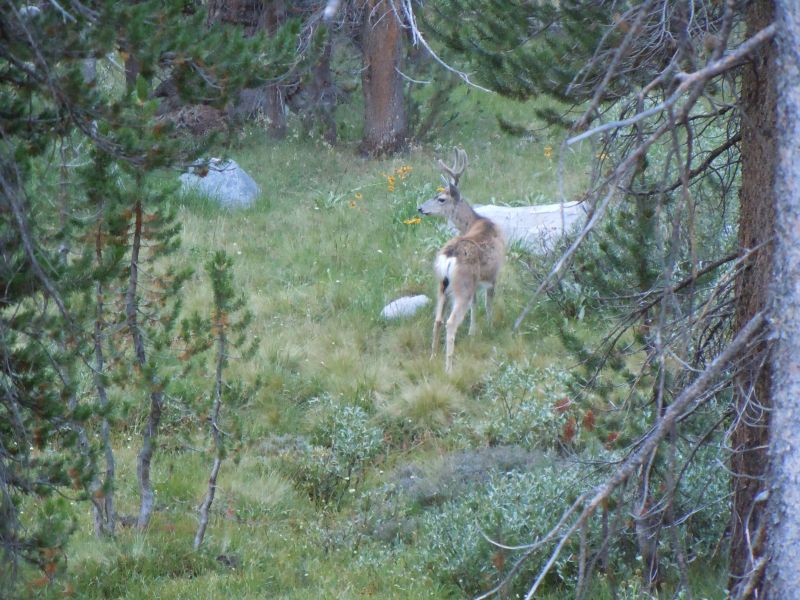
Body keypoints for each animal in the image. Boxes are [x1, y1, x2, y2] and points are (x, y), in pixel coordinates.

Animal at [417, 148, 506, 373]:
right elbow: (488, 303)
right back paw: (448, 367)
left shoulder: (475, 283)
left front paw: (473, 332)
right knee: (450, 322)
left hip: (442, 285)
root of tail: (450, 257)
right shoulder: (493, 275)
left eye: (440, 198)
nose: (420, 208)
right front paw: (489, 328)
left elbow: (476, 304)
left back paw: (432, 357)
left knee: (438, 319)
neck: (476, 222)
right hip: (462, 285)